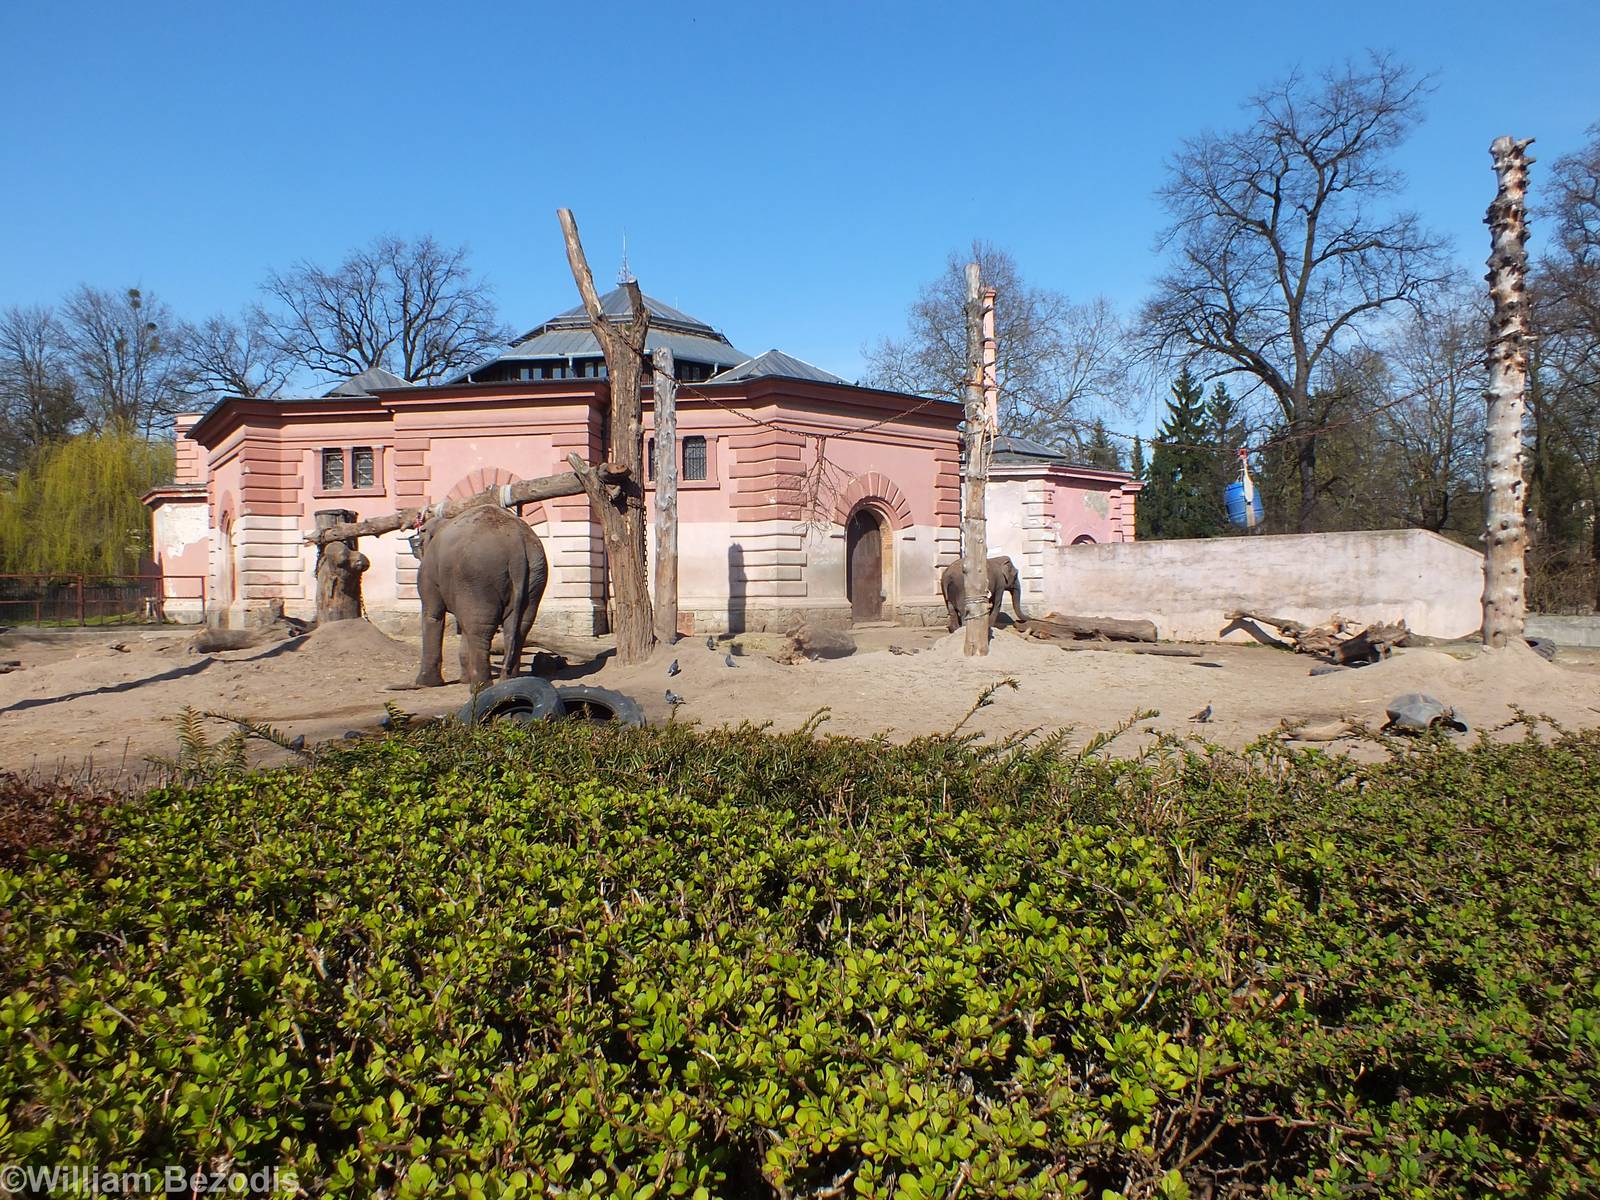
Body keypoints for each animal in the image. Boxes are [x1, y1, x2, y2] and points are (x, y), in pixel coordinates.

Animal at [412, 504, 549, 688]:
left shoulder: (429, 572)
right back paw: (507, 683)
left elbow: (433, 615)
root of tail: (517, 545)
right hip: (536, 575)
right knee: (519, 627)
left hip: (478, 577)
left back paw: (480, 687)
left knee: (480, 628)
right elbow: (462, 623)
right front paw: (464, 680)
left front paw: (425, 684)